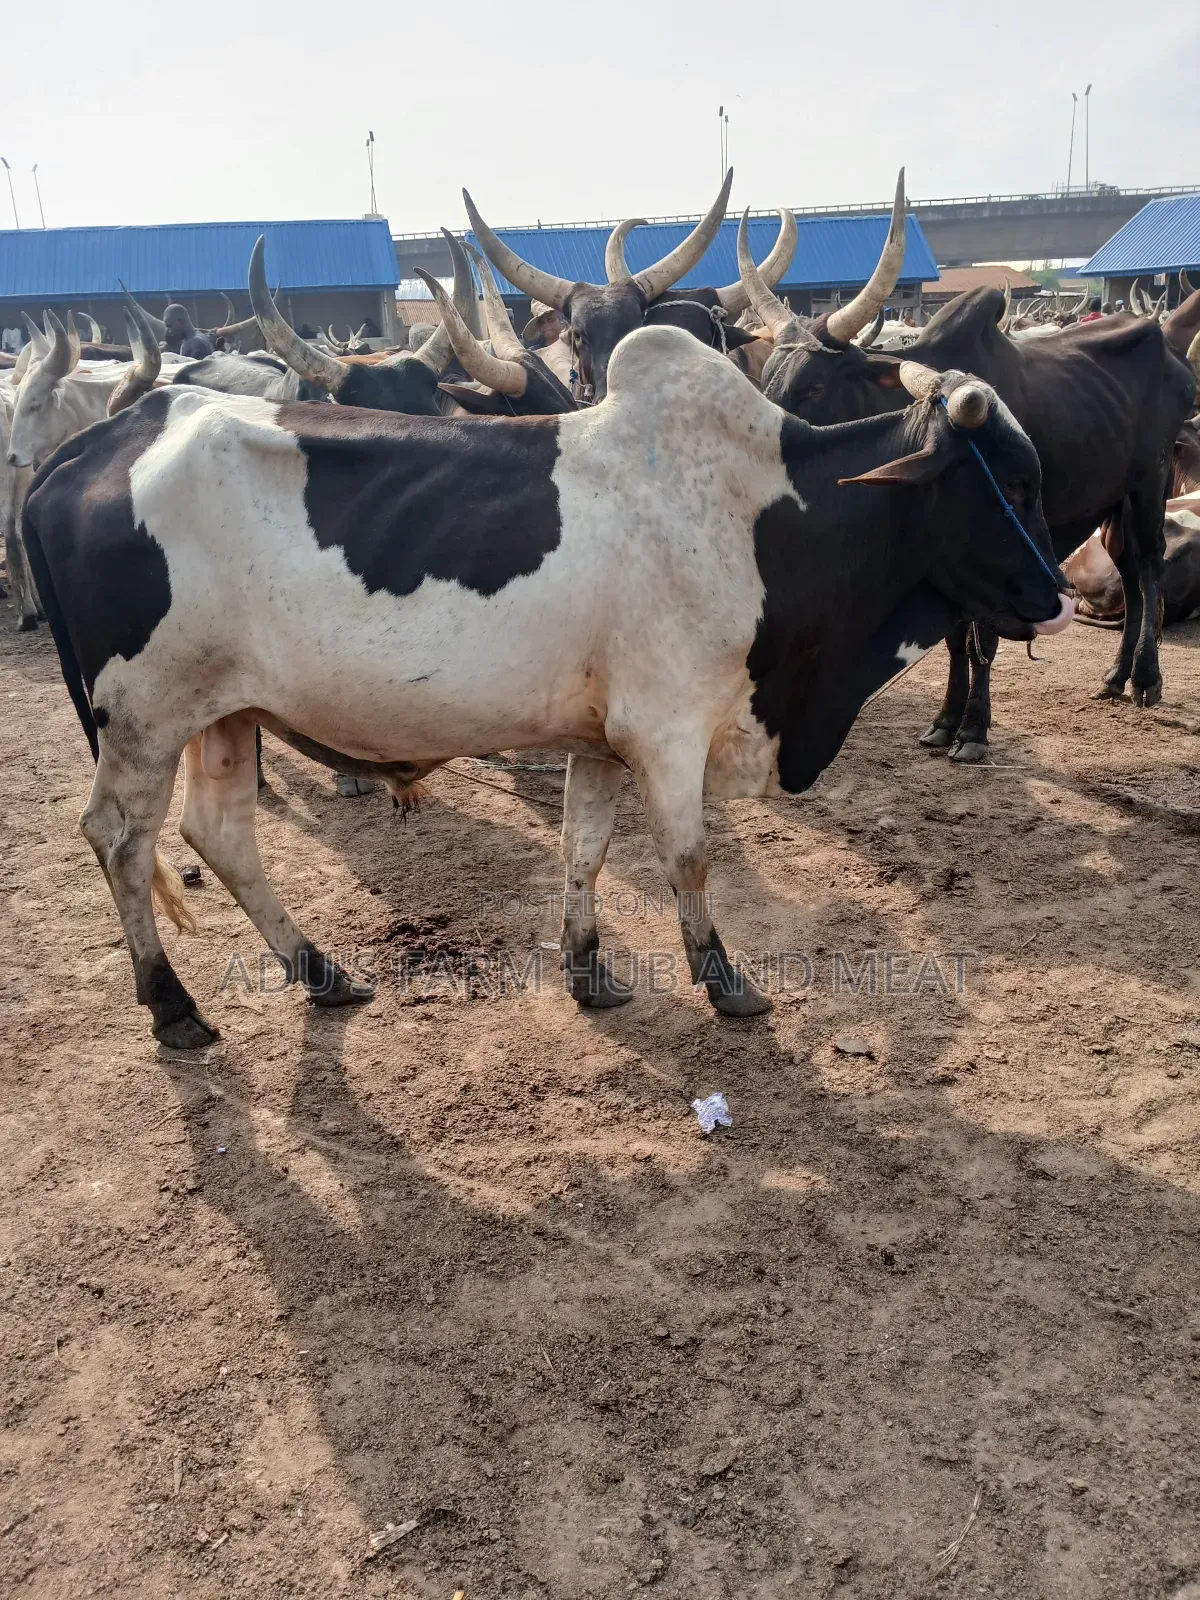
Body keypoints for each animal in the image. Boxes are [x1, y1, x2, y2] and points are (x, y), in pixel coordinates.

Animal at [22, 327, 1070, 1049]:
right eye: (1015, 484)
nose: (1058, 595)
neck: (767, 516)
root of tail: (95, 443)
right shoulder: (671, 730)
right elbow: (689, 858)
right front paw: (725, 982)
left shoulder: (601, 738)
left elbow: (585, 850)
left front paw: (588, 970)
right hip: (144, 720)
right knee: (120, 841)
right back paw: (173, 1006)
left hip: (225, 712)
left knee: (222, 836)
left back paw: (320, 971)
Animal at [737, 205, 1197, 755]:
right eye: (767, 380)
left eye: (816, 386)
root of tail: (1170, 349)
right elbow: (958, 640)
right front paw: (946, 720)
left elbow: (984, 641)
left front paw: (975, 726)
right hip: (1112, 499)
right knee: (1127, 569)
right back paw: (1115, 675)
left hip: (1150, 481)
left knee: (1149, 566)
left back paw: (1147, 678)